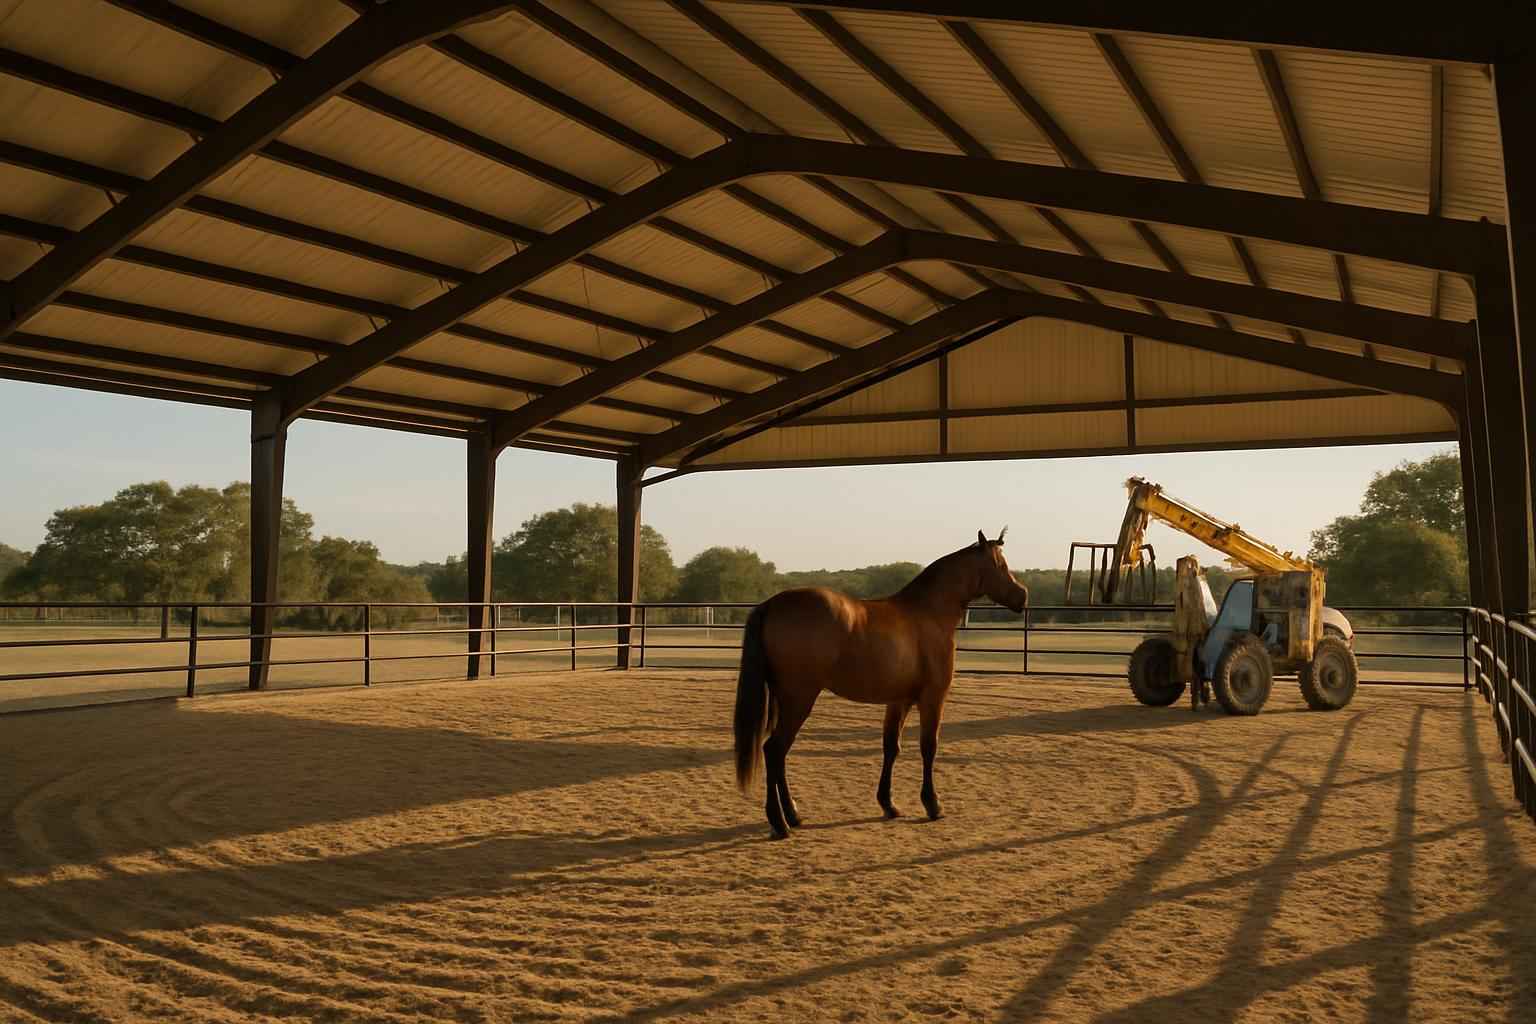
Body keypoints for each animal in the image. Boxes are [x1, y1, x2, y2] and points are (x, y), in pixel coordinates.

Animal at [733, 530, 1029, 839]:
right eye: (1000, 565)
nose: (1023, 596)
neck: (928, 613)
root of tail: (771, 604)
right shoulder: (933, 698)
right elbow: (928, 747)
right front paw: (932, 804)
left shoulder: (899, 701)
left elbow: (891, 748)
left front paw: (889, 804)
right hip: (799, 699)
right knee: (774, 750)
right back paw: (780, 823)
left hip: (786, 700)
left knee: (779, 754)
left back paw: (793, 815)